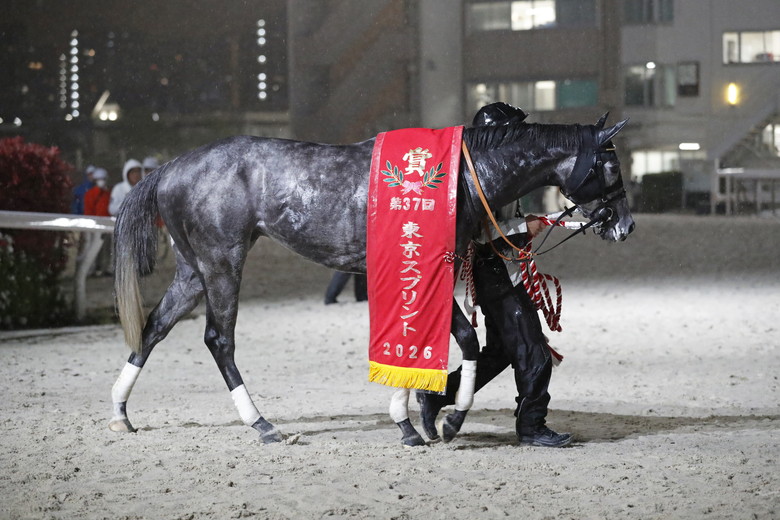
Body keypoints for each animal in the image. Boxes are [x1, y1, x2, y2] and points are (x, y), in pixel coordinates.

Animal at [109, 112, 633, 446]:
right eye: (611, 164)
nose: (624, 225)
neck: (461, 176)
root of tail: (171, 167)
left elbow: (414, 343)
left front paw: (412, 421)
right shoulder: (429, 267)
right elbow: (462, 338)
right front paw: (445, 420)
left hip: (192, 271)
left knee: (153, 327)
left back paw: (120, 414)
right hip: (221, 263)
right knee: (219, 339)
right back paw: (262, 424)